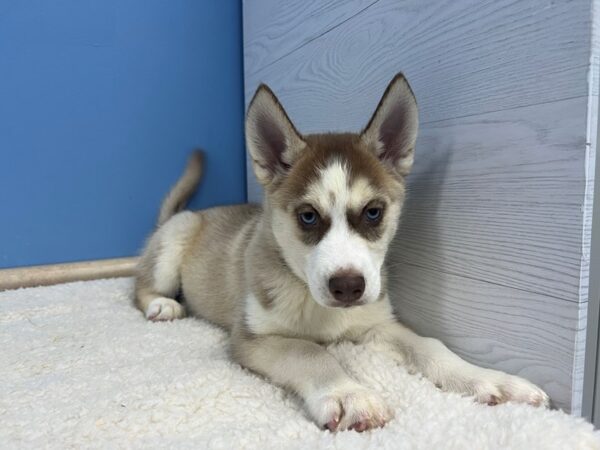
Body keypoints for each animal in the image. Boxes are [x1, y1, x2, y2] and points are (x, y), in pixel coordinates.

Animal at [135, 74, 548, 432]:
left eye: (373, 212)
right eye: (307, 216)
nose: (348, 286)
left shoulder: (377, 324)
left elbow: (431, 346)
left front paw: (490, 380)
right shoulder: (251, 338)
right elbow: (310, 353)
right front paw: (348, 394)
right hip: (178, 236)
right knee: (140, 289)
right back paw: (163, 304)